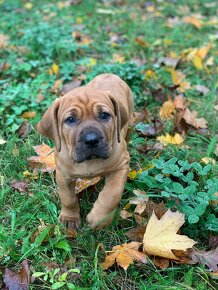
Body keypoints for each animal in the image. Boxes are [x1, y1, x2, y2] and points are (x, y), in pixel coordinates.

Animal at [36, 73, 134, 229]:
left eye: (104, 115)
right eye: (70, 119)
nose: (91, 140)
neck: (89, 162)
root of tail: (108, 74)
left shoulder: (121, 166)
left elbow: (111, 195)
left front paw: (99, 218)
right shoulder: (63, 174)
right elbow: (68, 198)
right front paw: (69, 218)